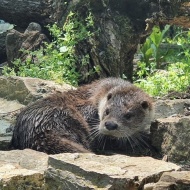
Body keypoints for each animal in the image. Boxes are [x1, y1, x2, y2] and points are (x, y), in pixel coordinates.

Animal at [10, 78, 154, 154]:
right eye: (107, 111)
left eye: (128, 115)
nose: (110, 124)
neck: (98, 93)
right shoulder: (86, 108)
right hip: (65, 117)